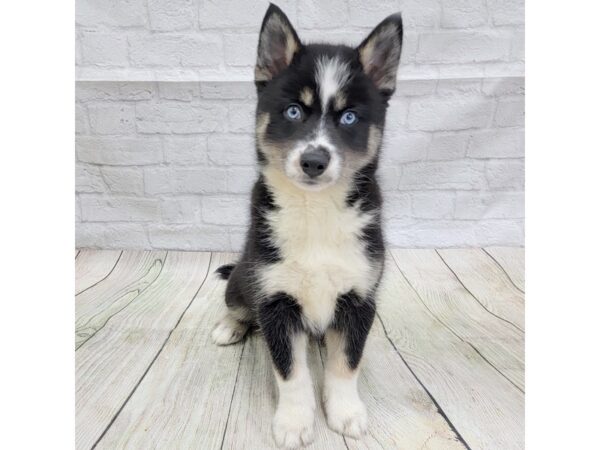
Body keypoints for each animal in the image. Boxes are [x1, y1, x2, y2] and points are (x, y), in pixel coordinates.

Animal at [211, 4, 404, 450]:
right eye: (294, 111)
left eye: (349, 117)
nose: (314, 161)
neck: (315, 210)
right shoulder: (274, 300)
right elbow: (291, 372)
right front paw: (295, 422)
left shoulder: (359, 298)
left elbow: (346, 363)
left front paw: (346, 413)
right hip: (243, 278)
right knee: (236, 304)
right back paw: (229, 326)